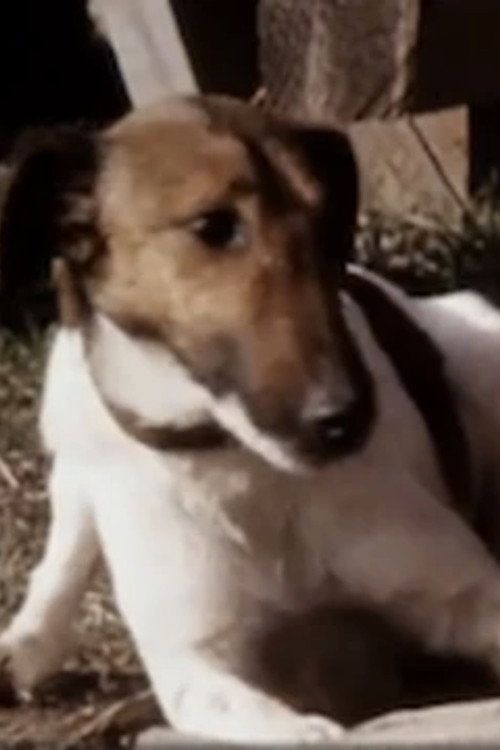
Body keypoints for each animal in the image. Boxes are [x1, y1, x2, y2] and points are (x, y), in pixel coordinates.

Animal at [2, 95, 500, 742]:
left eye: (329, 222)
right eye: (213, 226)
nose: (346, 419)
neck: (237, 460)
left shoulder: (465, 590)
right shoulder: (197, 668)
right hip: (69, 428)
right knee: (67, 539)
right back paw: (29, 640)